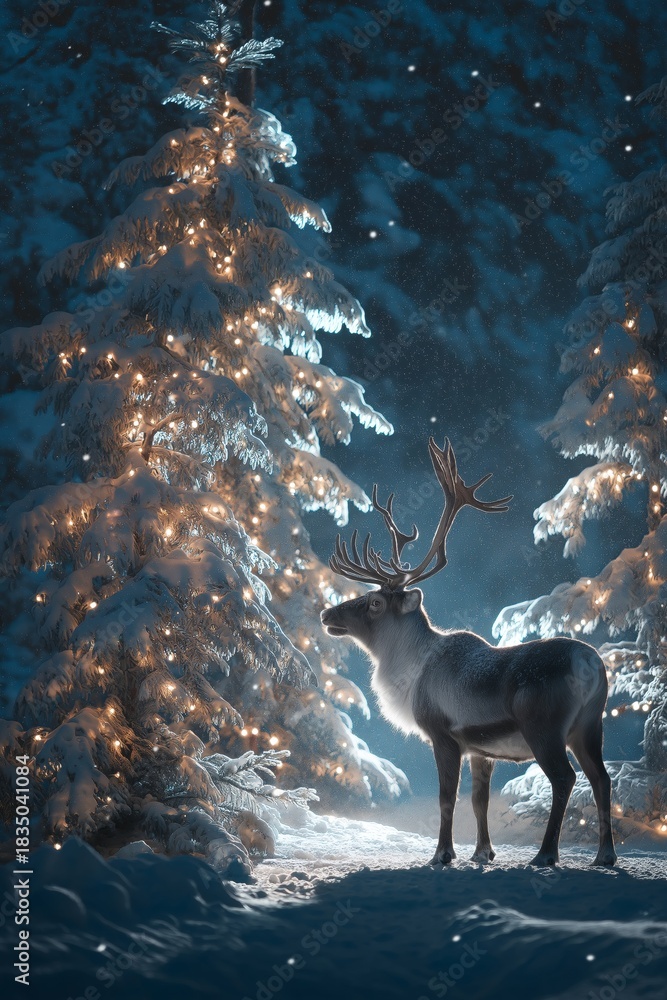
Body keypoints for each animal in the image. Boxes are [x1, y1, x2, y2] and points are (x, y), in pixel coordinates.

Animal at [320, 438, 616, 868]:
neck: (409, 671)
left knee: (566, 779)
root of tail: (592, 664)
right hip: (590, 724)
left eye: (374, 603)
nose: (327, 614)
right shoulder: (482, 748)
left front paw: (442, 854)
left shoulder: (443, 734)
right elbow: (479, 801)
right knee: (601, 779)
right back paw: (604, 856)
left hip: (545, 727)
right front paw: (482, 852)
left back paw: (546, 854)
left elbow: (447, 800)